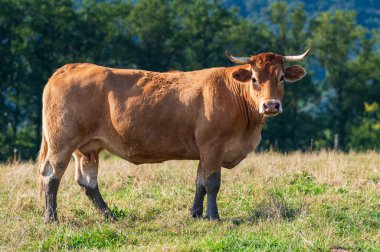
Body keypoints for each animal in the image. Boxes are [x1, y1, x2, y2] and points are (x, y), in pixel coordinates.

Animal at [38, 48, 310, 222]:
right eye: (254, 78)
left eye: (282, 78)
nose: (271, 105)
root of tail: (70, 67)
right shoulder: (213, 144)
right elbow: (212, 182)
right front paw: (213, 216)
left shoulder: (205, 150)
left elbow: (200, 182)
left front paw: (196, 214)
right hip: (61, 142)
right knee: (51, 176)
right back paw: (52, 219)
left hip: (87, 147)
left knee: (88, 182)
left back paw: (110, 216)